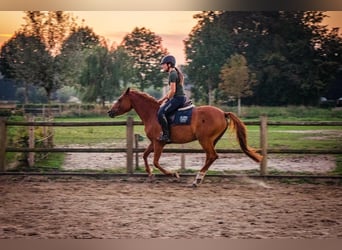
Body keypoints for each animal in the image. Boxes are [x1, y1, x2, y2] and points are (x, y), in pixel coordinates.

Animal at [108, 88, 264, 186]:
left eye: (120, 99)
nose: (110, 112)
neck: (153, 114)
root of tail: (223, 113)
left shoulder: (159, 143)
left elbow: (156, 162)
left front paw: (174, 174)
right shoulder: (154, 142)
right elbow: (145, 156)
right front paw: (151, 175)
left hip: (204, 140)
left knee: (212, 156)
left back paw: (197, 179)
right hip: (211, 141)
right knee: (210, 157)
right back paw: (199, 178)